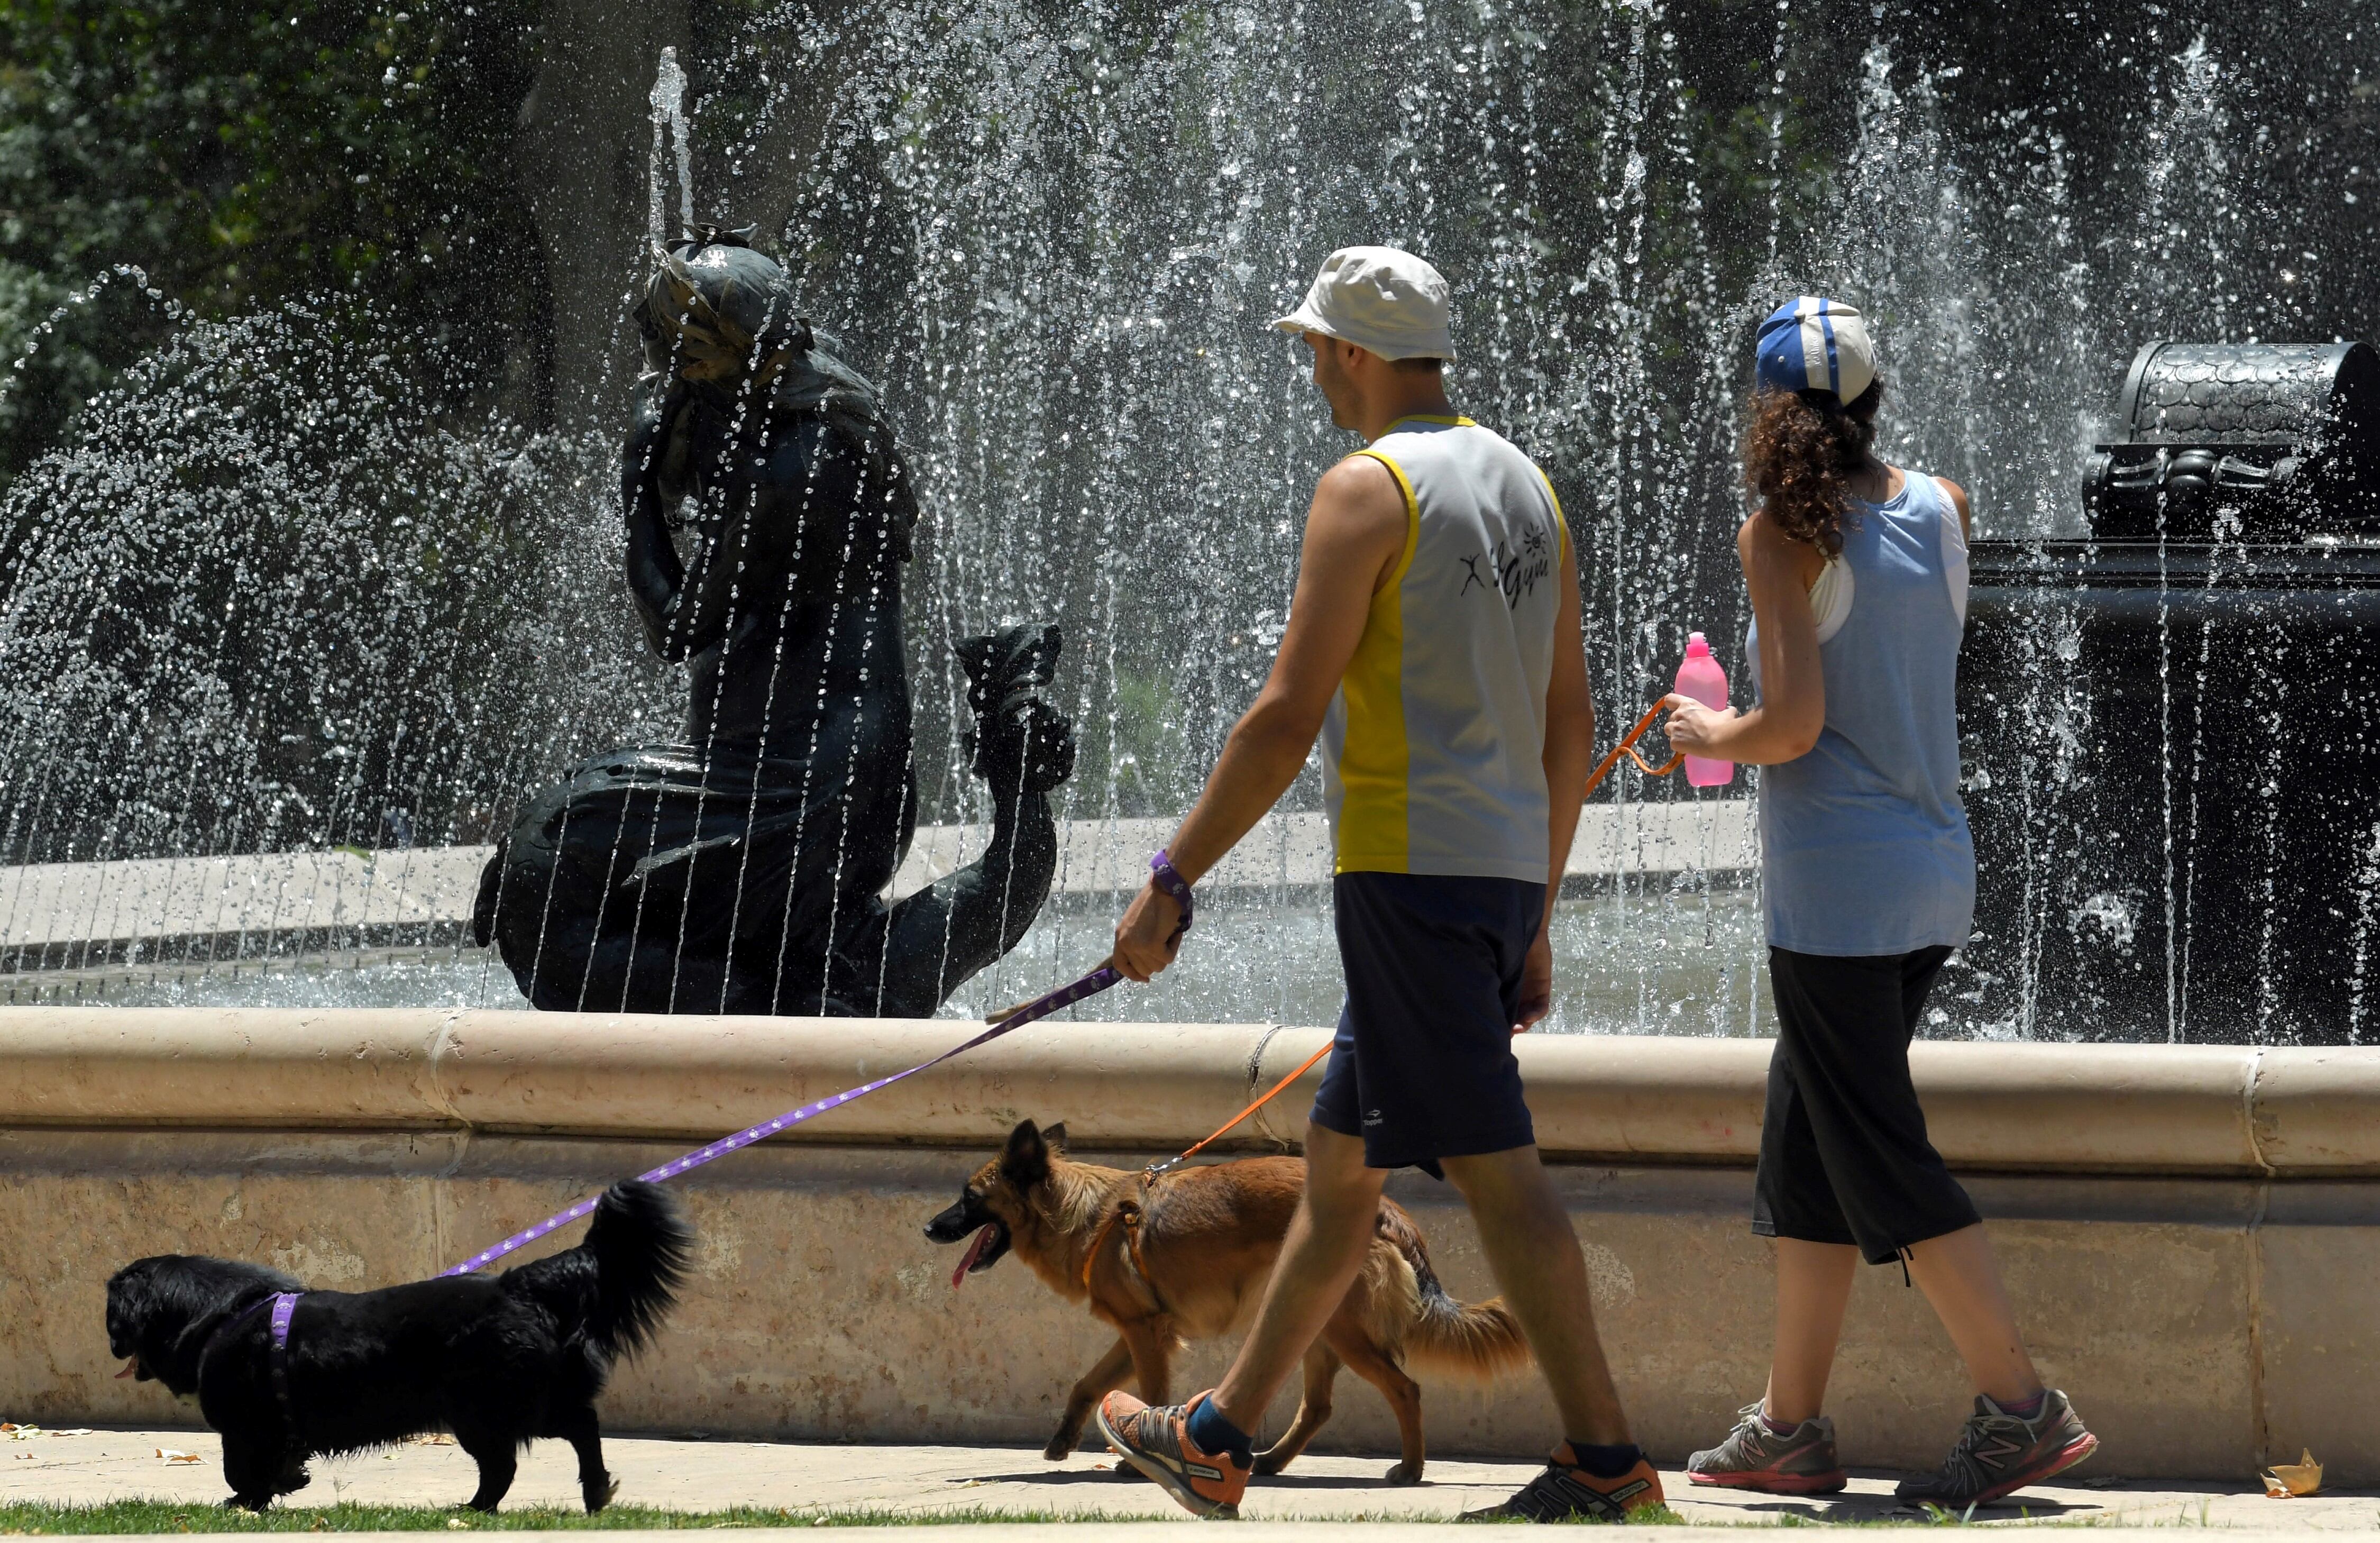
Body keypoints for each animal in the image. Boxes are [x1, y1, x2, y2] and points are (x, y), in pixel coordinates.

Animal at [107, 1181, 695, 1504]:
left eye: (114, 1318)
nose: (111, 1345)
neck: (222, 1313)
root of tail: (519, 1285)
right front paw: (285, 1484)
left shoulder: (247, 1425)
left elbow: (240, 1467)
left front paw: (253, 1497)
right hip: (501, 1405)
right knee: (550, 1441)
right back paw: (581, 1494)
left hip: (491, 1406)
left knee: (539, 1446)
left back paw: (484, 1507)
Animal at [919, 1119, 1533, 1485]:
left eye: (969, 1198)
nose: (927, 1227)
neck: (1085, 1212)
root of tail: (1389, 1212)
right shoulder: (1138, 1328)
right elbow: (1086, 1383)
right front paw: (1063, 1439)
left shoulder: (1146, 1334)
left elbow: (1151, 1392)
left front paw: (1139, 1460)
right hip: (1315, 1324)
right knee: (1319, 1407)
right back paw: (1272, 1461)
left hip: (1344, 1331)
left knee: (1405, 1389)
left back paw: (1409, 1468)